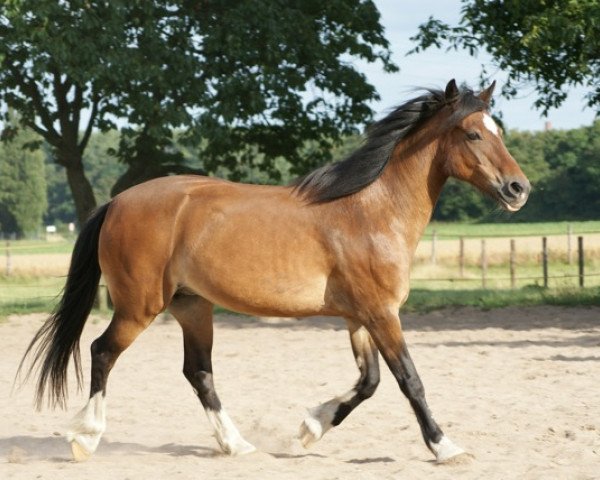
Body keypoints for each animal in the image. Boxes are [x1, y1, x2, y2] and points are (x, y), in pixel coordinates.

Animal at [19, 80, 528, 464]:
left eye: (497, 130)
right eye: (473, 134)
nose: (518, 188)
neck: (371, 213)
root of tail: (117, 202)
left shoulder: (359, 317)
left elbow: (369, 383)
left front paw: (309, 429)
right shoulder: (382, 314)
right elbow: (409, 380)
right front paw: (446, 447)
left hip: (192, 306)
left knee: (198, 372)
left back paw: (236, 444)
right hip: (139, 306)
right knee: (102, 351)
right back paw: (85, 438)